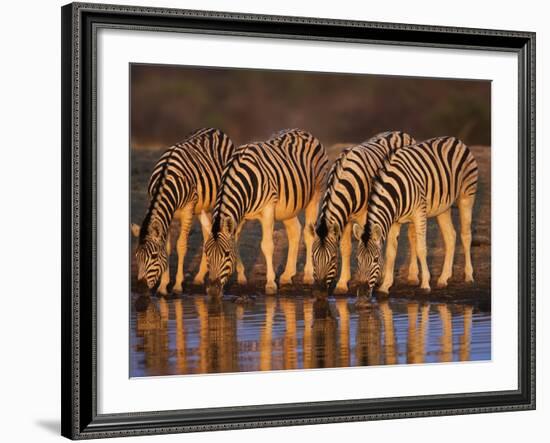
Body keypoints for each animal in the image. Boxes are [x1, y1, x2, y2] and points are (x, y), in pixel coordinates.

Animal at [132, 128, 235, 294]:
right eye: (136, 255)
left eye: (153, 256)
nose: (141, 289)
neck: (165, 179)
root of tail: (214, 129)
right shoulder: (168, 214)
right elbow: (167, 247)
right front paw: (163, 286)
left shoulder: (187, 209)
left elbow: (181, 245)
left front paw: (177, 285)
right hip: (202, 208)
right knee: (207, 234)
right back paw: (199, 277)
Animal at [202, 128, 328, 296]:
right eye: (206, 253)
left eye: (226, 254)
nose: (212, 290)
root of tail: (305, 132)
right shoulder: (241, 214)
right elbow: (236, 241)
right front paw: (242, 277)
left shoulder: (268, 208)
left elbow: (267, 245)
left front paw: (270, 284)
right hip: (288, 207)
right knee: (295, 231)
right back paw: (287, 275)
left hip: (315, 196)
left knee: (309, 234)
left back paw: (308, 276)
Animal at [310, 132, 418, 294]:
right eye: (312, 257)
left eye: (333, 258)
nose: (318, 292)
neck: (347, 181)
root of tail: (402, 133)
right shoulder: (346, 218)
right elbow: (346, 248)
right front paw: (342, 284)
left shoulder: (365, 216)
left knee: (413, 238)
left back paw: (412, 276)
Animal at [354, 135, 478, 294]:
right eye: (357, 260)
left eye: (375, 259)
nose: (362, 293)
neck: (395, 191)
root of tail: (456, 140)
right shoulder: (394, 220)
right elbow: (391, 252)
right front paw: (385, 286)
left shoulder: (420, 213)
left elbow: (421, 249)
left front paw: (425, 283)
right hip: (443, 207)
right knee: (451, 236)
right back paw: (443, 278)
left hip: (467, 195)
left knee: (465, 235)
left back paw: (468, 276)